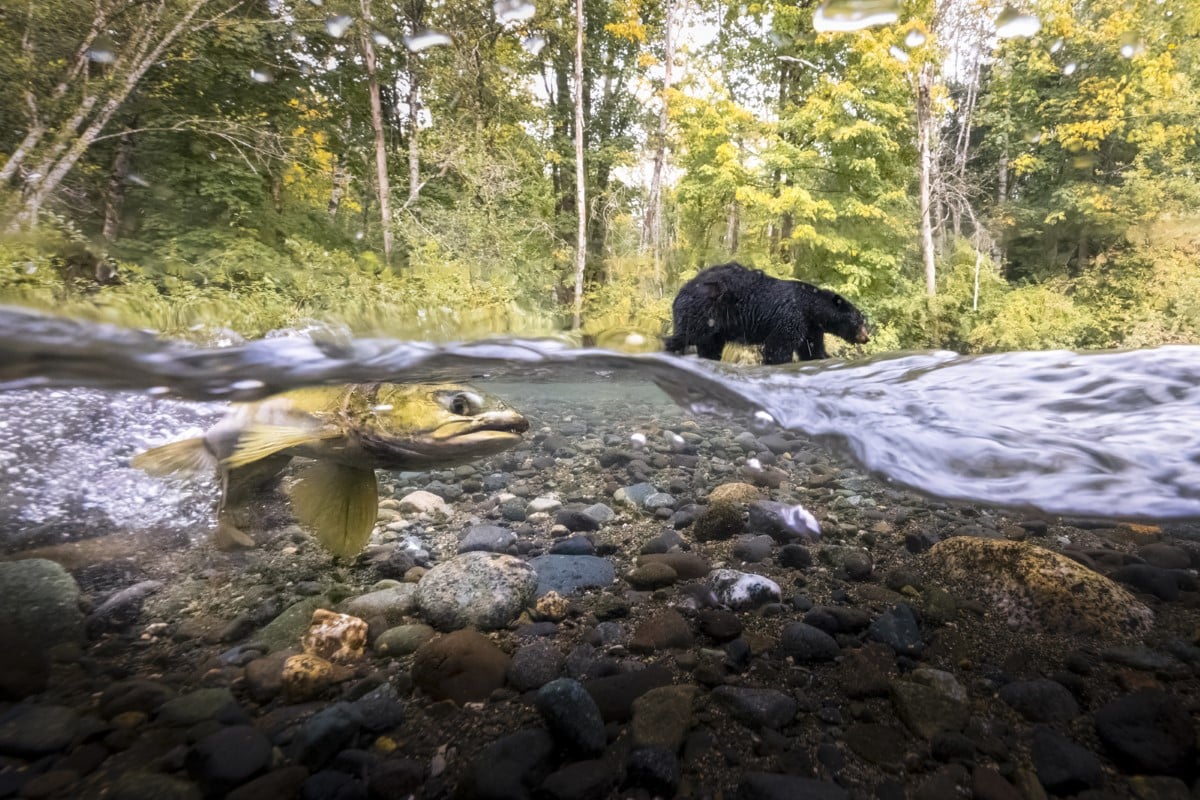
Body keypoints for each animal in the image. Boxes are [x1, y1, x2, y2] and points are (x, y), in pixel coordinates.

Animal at [667, 261, 873, 364]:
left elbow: (811, 347)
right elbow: (779, 345)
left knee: (710, 343)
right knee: (689, 333)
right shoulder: (791, 316)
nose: (866, 338)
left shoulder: (810, 326)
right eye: (860, 321)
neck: (811, 308)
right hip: (705, 310)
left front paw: (822, 356)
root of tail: (683, 288)